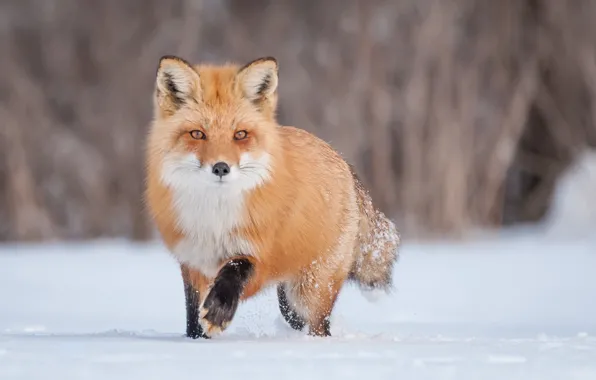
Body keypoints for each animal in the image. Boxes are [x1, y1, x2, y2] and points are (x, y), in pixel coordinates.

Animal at [143, 55, 400, 338]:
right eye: (197, 134)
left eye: (240, 135)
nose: (221, 168)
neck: (215, 219)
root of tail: (341, 158)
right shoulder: (192, 262)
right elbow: (192, 318)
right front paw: (196, 340)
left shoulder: (259, 255)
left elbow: (235, 270)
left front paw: (218, 312)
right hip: (290, 303)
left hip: (309, 293)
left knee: (320, 326)